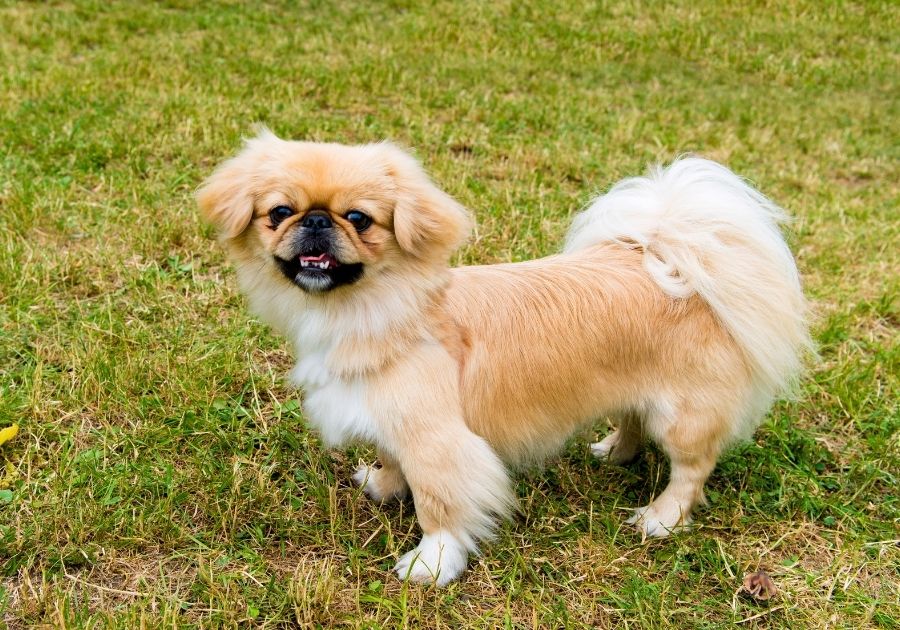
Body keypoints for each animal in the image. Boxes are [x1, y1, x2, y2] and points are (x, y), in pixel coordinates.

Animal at [199, 130, 816, 588]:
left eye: (359, 218)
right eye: (280, 211)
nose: (317, 220)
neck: (377, 311)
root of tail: (673, 260)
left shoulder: (439, 441)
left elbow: (440, 505)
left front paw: (431, 565)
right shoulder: (391, 419)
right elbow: (394, 460)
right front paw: (383, 484)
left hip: (683, 415)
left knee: (691, 469)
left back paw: (661, 519)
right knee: (632, 419)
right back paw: (614, 452)